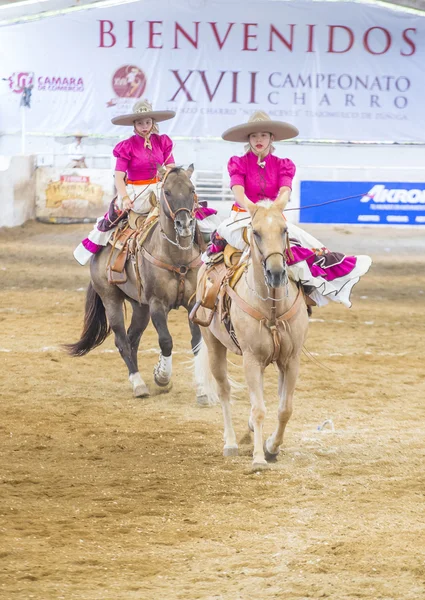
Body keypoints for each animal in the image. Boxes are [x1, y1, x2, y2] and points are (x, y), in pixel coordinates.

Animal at [65, 166, 209, 406]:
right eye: (167, 192)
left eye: (192, 189)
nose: (184, 225)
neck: (176, 257)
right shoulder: (157, 304)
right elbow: (166, 340)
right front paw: (162, 377)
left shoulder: (191, 304)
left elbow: (197, 343)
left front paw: (201, 391)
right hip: (111, 300)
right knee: (122, 341)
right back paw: (138, 383)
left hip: (140, 306)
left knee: (133, 339)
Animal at [195, 195, 308, 472]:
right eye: (255, 232)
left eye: (284, 230)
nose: (276, 273)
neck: (272, 308)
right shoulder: (251, 360)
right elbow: (259, 409)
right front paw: (258, 458)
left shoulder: (290, 360)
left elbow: (285, 408)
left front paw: (271, 447)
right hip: (214, 346)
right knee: (224, 391)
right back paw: (231, 443)